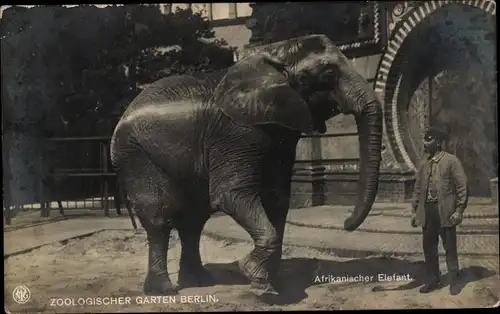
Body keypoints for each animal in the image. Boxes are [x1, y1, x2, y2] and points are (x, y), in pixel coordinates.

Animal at [110, 34, 382, 296]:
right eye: (328, 74)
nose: (346, 224)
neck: (276, 52)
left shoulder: (278, 129)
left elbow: (277, 198)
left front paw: (267, 284)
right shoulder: (236, 132)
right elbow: (232, 194)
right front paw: (252, 275)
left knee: (194, 220)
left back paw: (199, 281)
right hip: (136, 156)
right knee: (160, 217)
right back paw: (164, 291)